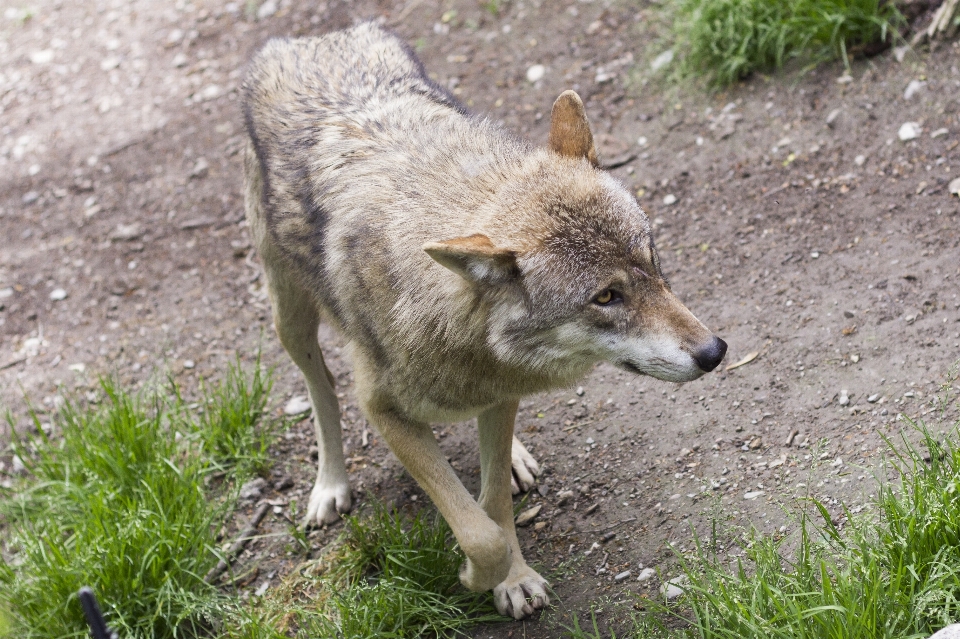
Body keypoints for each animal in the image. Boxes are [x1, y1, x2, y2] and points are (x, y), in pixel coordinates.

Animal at [242, 22, 728, 616]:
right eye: (607, 297)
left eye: (652, 260)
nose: (714, 351)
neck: (460, 335)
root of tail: (315, 36)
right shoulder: (383, 411)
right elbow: (479, 533)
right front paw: (473, 575)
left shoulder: (499, 393)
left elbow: (492, 505)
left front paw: (512, 578)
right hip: (289, 319)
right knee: (322, 390)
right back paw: (330, 486)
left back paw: (515, 458)